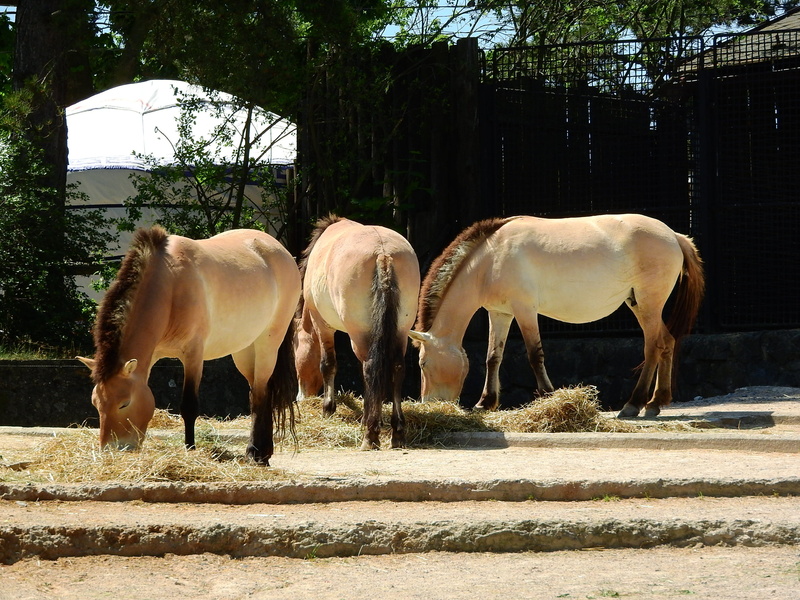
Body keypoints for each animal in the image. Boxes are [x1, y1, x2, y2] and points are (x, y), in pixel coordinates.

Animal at [77, 226, 300, 465]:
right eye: (96, 403)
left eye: (124, 403)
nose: (112, 449)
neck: (170, 285)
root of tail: (280, 250)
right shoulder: (152, 356)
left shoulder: (193, 356)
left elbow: (189, 406)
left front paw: (190, 448)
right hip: (244, 350)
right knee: (258, 392)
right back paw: (261, 452)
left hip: (267, 344)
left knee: (260, 392)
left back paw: (256, 453)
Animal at [295, 215, 421, 449]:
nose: (301, 396)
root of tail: (383, 254)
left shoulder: (322, 325)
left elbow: (328, 365)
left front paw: (328, 409)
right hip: (400, 331)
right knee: (395, 369)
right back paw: (397, 432)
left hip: (358, 333)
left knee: (370, 368)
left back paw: (370, 436)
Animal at [409, 213, 705, 418]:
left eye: (423, 364)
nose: (429, 403)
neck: (491, 257)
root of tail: (674, 236)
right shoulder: (500, 313)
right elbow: (493, 357)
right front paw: (485, 403)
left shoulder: (525, 310)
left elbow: (534, 355)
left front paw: (548, 396)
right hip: (639, 305)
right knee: (667, 343)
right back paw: (656, 403)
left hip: (648, 304)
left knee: (653, 347)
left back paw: (633, 404)